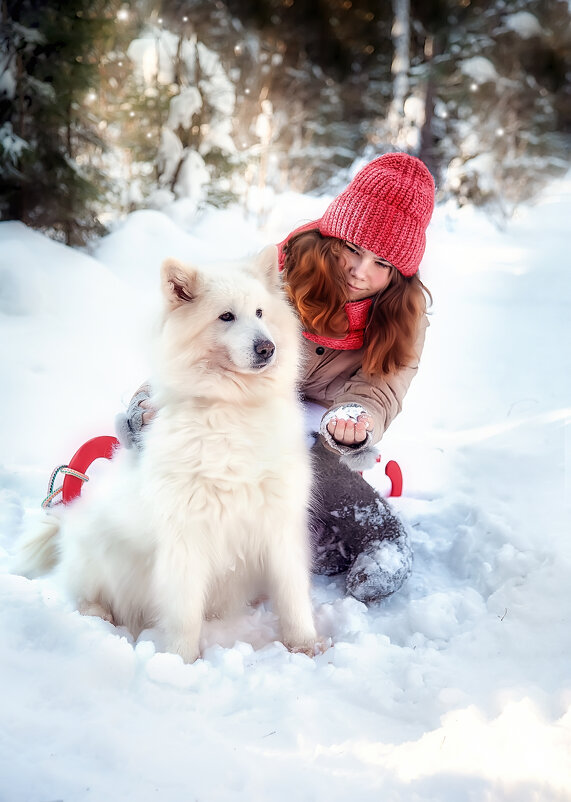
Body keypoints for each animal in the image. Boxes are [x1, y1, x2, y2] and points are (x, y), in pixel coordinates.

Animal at [16, 247, 318, 660]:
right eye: (226, 316)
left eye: (259, 313)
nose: (267, 348)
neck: (233, 409)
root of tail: (68, 519)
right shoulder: (186, 536)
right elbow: (185, 612)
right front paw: (180, 661)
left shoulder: (280, 524)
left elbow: (293, 595)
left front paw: (305, 645)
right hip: (101, 554)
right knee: (87, 594)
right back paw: (98, 616)